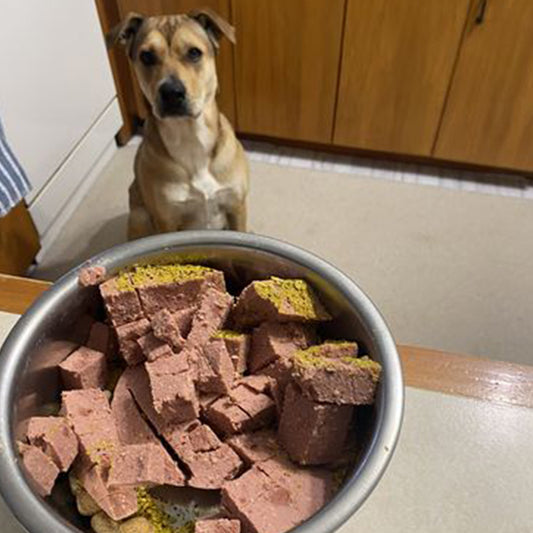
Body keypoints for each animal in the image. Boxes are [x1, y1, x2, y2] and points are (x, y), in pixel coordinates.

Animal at [109, 9, 250, 238]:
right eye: (146, 56)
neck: (190, 136)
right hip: (139, 215)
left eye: (194, 53)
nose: (171, 93)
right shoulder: (166, 221)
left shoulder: (237, 206)